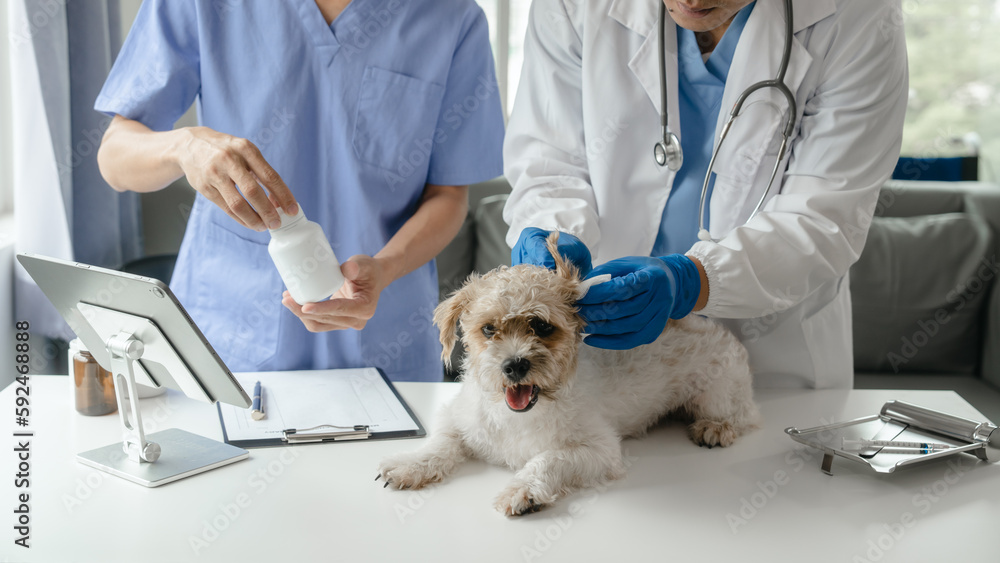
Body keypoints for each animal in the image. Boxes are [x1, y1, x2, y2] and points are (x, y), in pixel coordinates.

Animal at [378, 232, 760, 516]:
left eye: (543, 327)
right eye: (488, 329)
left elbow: (548, 459)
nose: (514, 365)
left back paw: (717, 427)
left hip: (717, 395)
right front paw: (410, 464)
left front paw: (523, 490)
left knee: (746, 416)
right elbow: (439, 443)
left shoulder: (600, 450)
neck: (516, 417)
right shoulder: (458, 420)